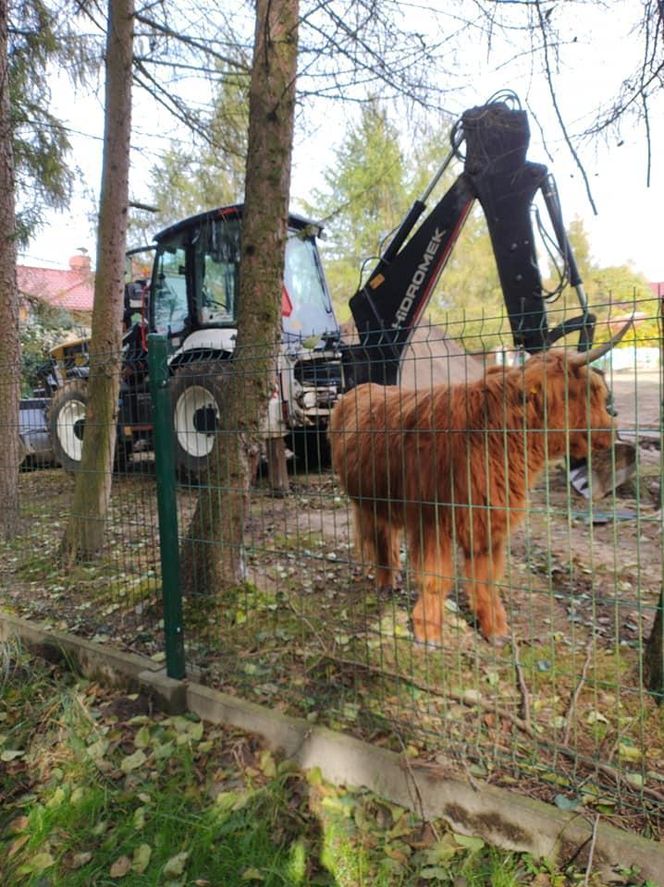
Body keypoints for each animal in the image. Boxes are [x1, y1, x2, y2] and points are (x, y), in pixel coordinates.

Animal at [330, 332, 632, 644]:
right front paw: (428, 631)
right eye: (586, 392)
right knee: (379, 537)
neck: (494, 438)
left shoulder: (488, 520)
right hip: (366, 499)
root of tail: (360, 389)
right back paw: (386, 584)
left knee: (388, 535)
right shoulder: (431, 521)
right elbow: (435, 578)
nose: (611, 431)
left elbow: (485, 579)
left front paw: (495, 628)